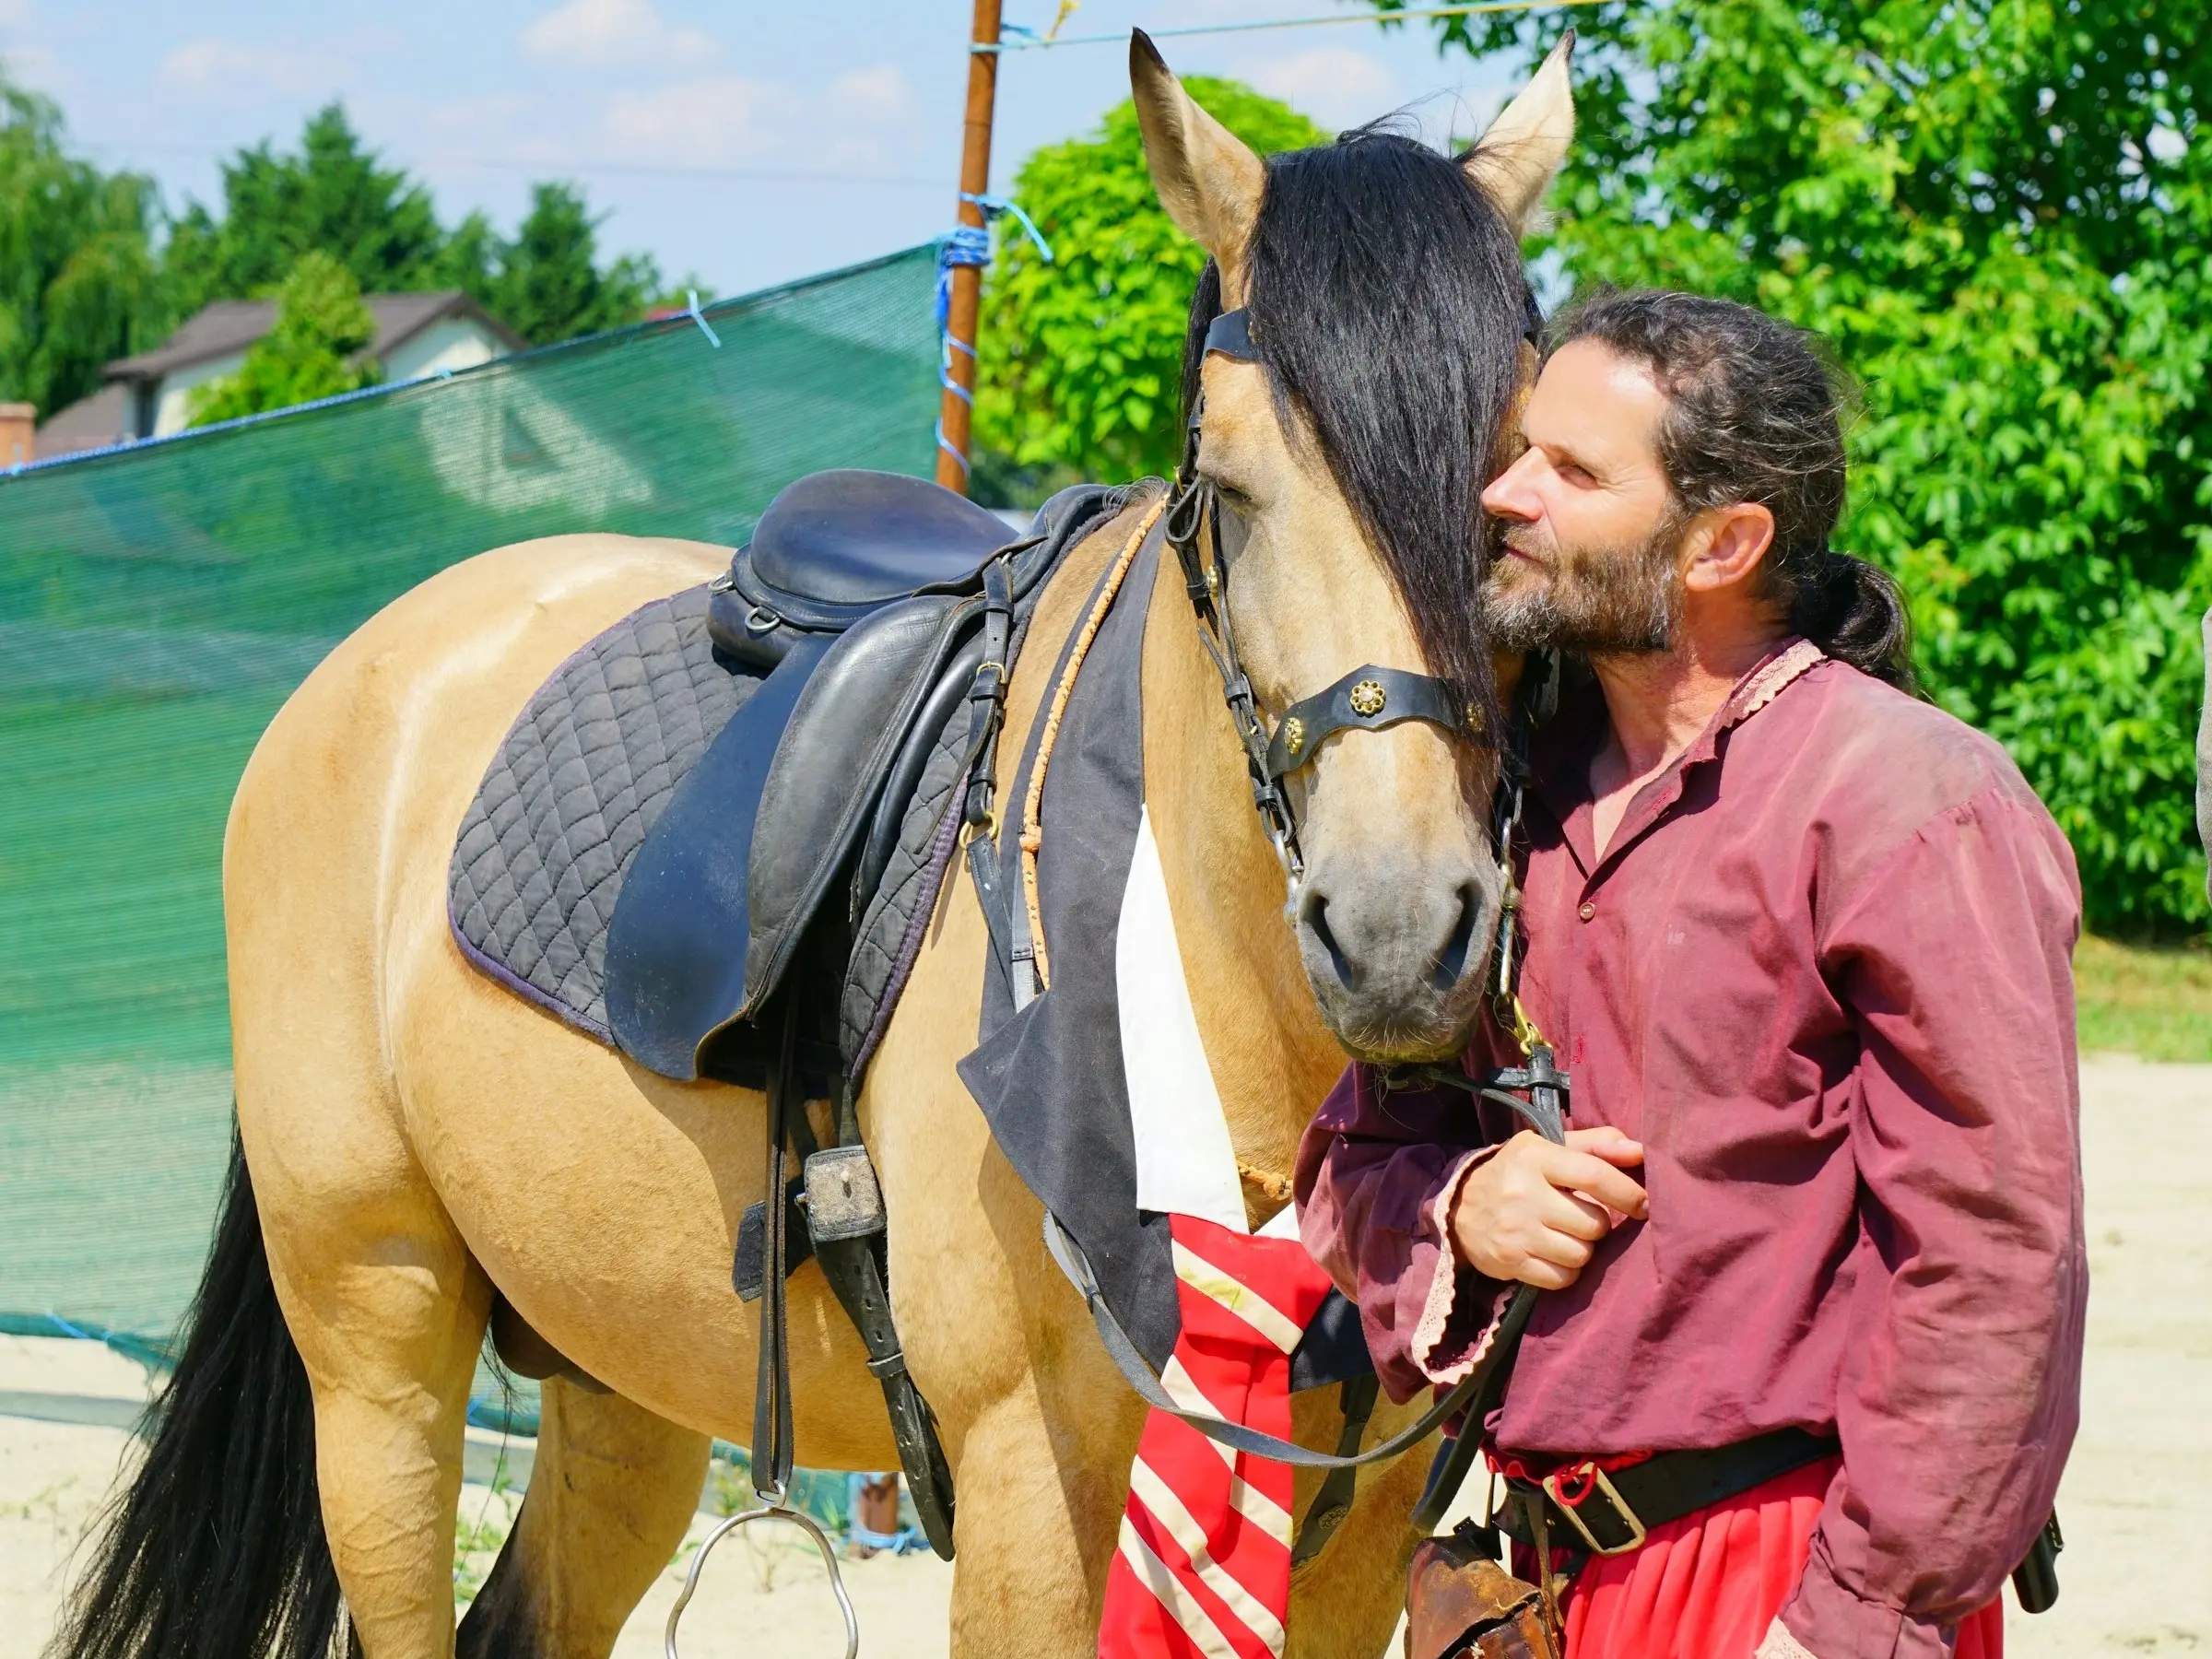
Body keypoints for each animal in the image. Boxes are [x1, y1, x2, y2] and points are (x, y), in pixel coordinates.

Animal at [52, 35, 1574, 1659]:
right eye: (1227, 487)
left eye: (1514, 487)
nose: (1399, 939)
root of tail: (363, 667)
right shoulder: (1033, 1476)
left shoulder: (1358, 1526)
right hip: (377, 1343)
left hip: (625, 1359)